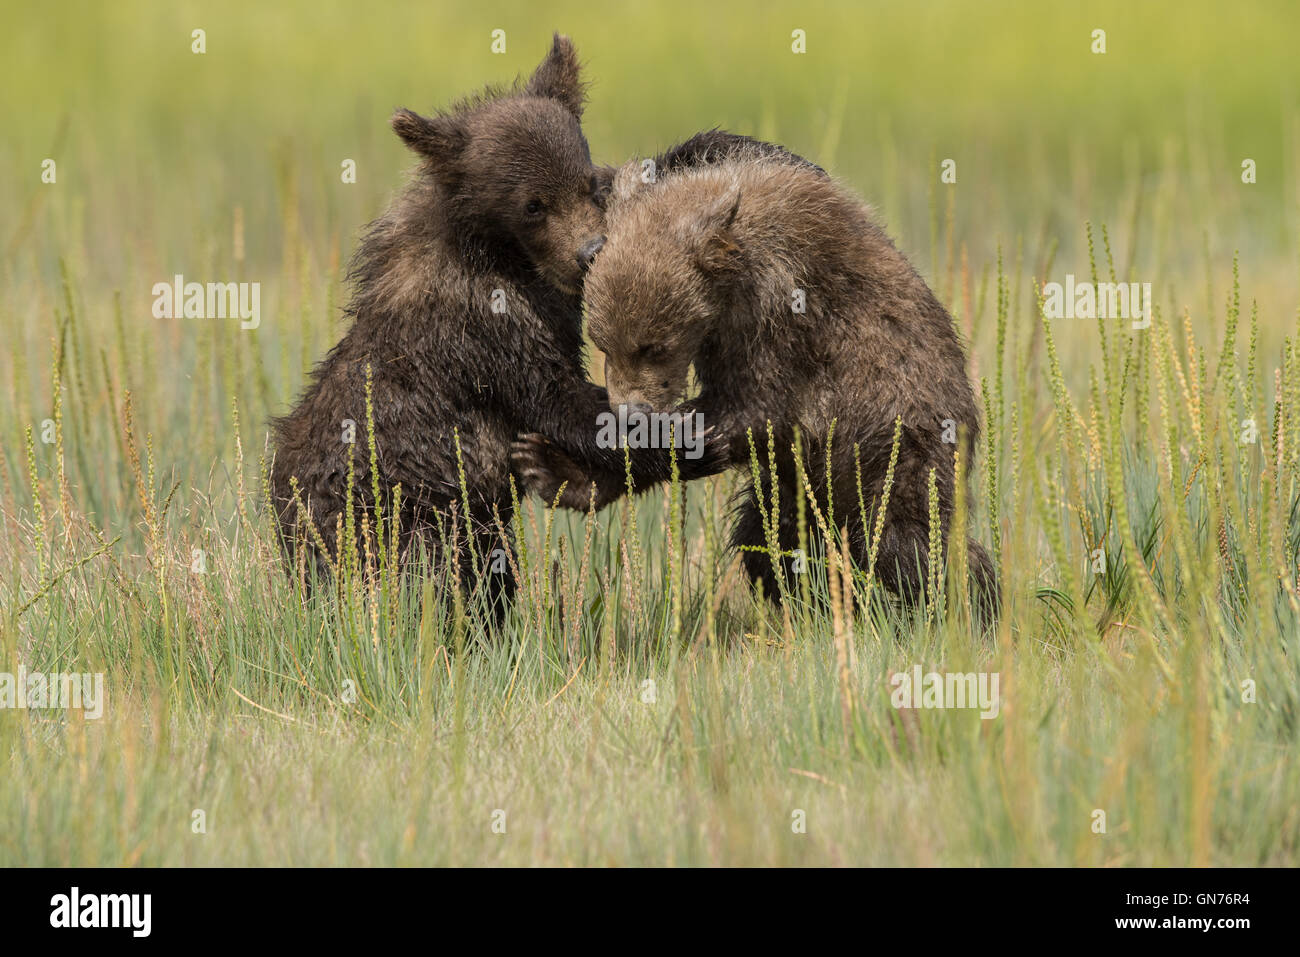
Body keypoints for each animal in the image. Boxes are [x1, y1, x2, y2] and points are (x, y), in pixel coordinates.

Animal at [269, 34, 735, 610]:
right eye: (533, 204)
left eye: (588, 182)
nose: (591, 251)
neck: (509, 259)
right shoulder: (483, 329)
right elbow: (561, 402)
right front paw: (693, 437)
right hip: (386, 520)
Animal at [514, 155, 1000, 627]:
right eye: (602, 344)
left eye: (653, 345)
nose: (631, 411)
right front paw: (562, 464)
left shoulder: (785, 314)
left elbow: (756, 405)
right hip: (803, 484)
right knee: (770, 539)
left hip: (898, 441)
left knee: (907, 537)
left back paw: (974, 604)